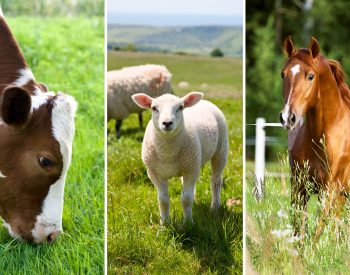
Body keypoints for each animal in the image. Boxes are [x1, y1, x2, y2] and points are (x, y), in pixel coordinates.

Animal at [133, 91, 228, 225]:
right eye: (154, 108)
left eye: (181, 107)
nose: (167, 123)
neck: (168, 154)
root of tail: (205, 101)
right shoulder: (155, 174)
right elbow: (163, 200)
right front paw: (165, 223)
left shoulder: (190, 171)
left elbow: (186, 199)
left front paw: (188, 223)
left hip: (220, 150)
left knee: (216, 181)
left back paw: (214, 208)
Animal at [280, 36, 350, 239]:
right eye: (283, 74)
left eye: (310, 76)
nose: (288, 117)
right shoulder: (299, 187)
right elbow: (298, 232)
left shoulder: (329, 190)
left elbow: (317, 233)